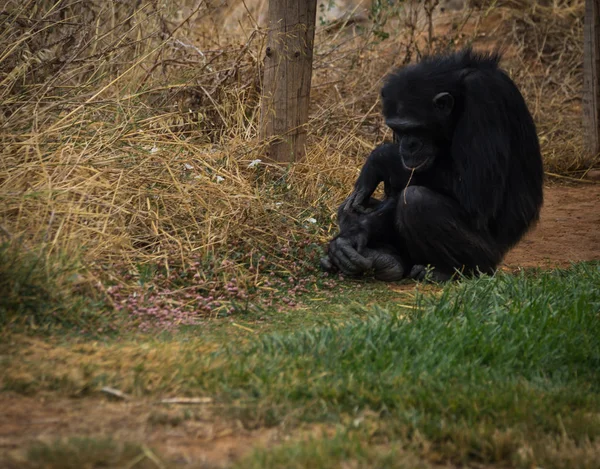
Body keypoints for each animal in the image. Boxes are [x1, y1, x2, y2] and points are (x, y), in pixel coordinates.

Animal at [322, 48, 548, 282]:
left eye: (416, 128)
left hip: (489, 256)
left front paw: (379, 159)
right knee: (353, 208)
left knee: (417, 200)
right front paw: (353, 235)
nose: (408, 145)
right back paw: (384, 258)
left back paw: (447, 271)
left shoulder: (484, 97)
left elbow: (475, 190)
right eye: (398, 129)